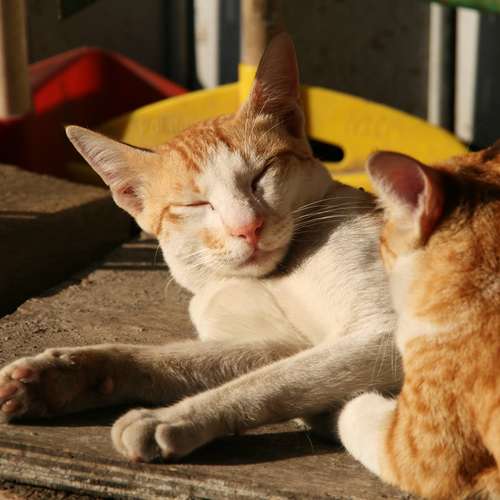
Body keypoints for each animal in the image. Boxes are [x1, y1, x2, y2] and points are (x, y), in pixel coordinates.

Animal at [0, 33, 400, 462]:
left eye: (261, 175)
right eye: (195, 204)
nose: (247, 227)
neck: (271, 277)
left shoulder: (384, 334)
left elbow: (271, 381)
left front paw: (169, 419)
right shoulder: (286, 343)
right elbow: (174, 359)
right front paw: (56, 376)